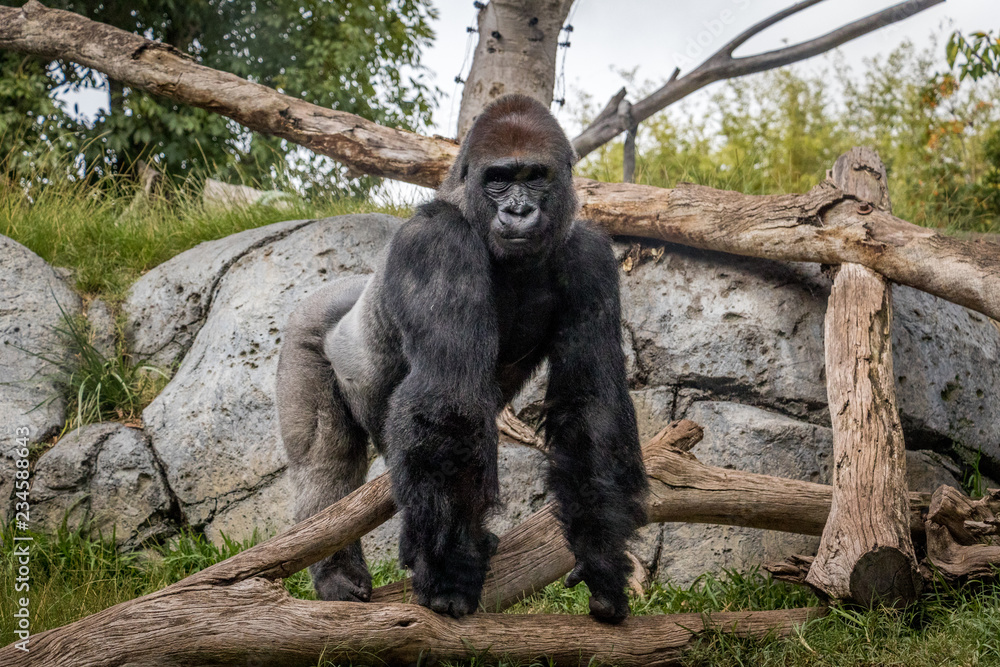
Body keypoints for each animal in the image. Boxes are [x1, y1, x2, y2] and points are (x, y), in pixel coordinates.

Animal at [276, 94, 648, 622]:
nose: (518, 211)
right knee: (324, 461)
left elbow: (590, 405)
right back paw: (337, 572)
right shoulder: (436, 242)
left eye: (535, 176)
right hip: (303, 331)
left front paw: (602, 555)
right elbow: (448, 397)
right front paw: (449, 573)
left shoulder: (590, 255)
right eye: (498, 179)